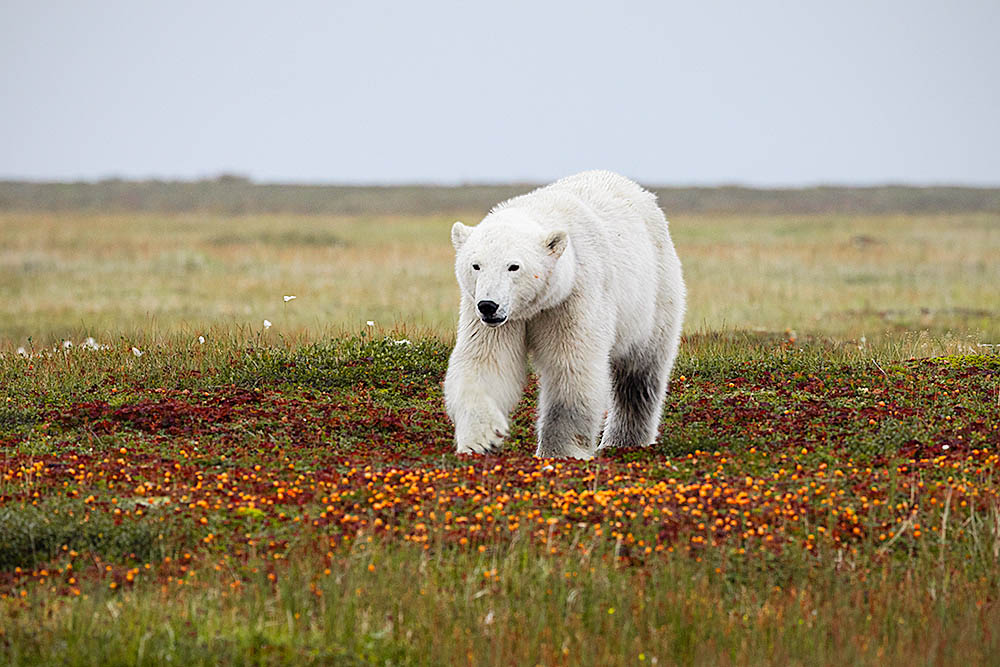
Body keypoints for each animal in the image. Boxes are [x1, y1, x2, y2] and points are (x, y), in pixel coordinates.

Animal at [444, 171, 684, 460]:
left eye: (514, 266)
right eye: (476, 265)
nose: (488, 305)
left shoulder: (574, 296)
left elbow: (570, 366)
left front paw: (560, 452)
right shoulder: (492, 317)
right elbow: (486, 361)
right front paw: (482, 439)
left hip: (656, 294)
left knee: (640, 373)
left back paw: (623, 440)